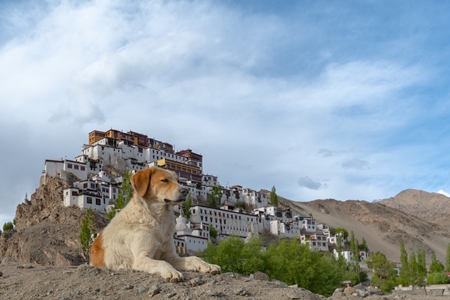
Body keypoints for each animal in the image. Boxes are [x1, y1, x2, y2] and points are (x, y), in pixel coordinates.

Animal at [90, 166, 221, 282]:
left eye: (178, 181)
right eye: (164, 180)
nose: (186, 190)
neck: (158, 220)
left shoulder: (170, 256)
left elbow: (194, 258)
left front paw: (208, 265)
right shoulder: (141, 259)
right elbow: (162, 262)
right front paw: (172, 272)